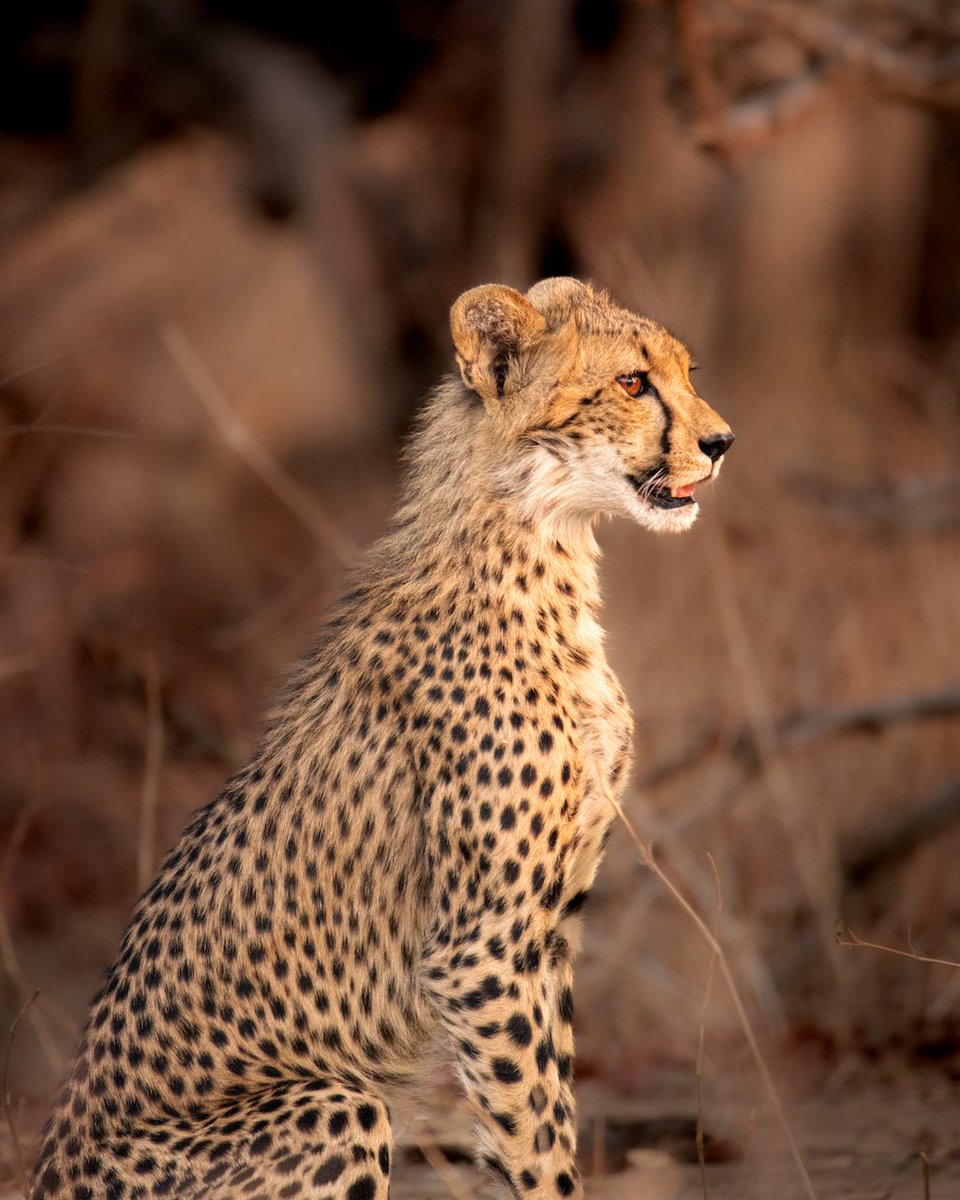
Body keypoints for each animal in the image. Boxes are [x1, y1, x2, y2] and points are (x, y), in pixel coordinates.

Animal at [30, 276, 733, 1200]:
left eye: (687, 371)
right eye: (631, 383)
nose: (722, 443)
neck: (542, 548)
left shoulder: (548, 931)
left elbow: (541, 1111)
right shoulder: (482, 951)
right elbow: (534, 1135)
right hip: (338, 1102)